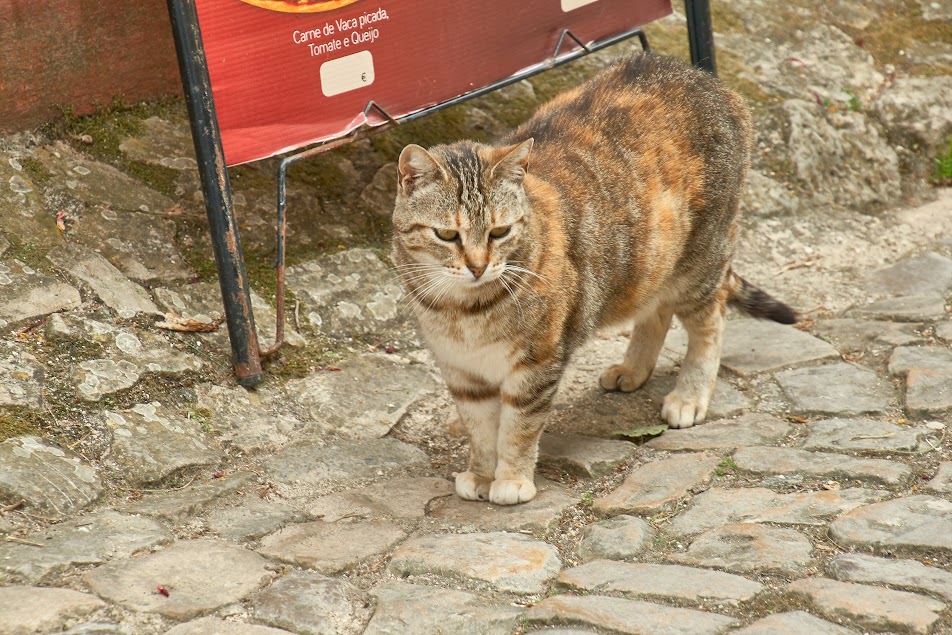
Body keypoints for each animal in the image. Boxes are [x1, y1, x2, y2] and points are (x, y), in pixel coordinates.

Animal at [386, 51, 796, 506]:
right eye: (447, 235)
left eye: (499, 232)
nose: (478, 266)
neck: (462, 309)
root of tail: (701, 76)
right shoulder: (461, 372)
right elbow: (479, 430)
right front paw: (480, 472)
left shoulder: (537, 363)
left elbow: (518, 428)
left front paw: (511, 478)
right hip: (648, 260)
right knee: (655, 311)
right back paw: (633, 369)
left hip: (699, 261)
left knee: (710, 320)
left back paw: (690, 393)